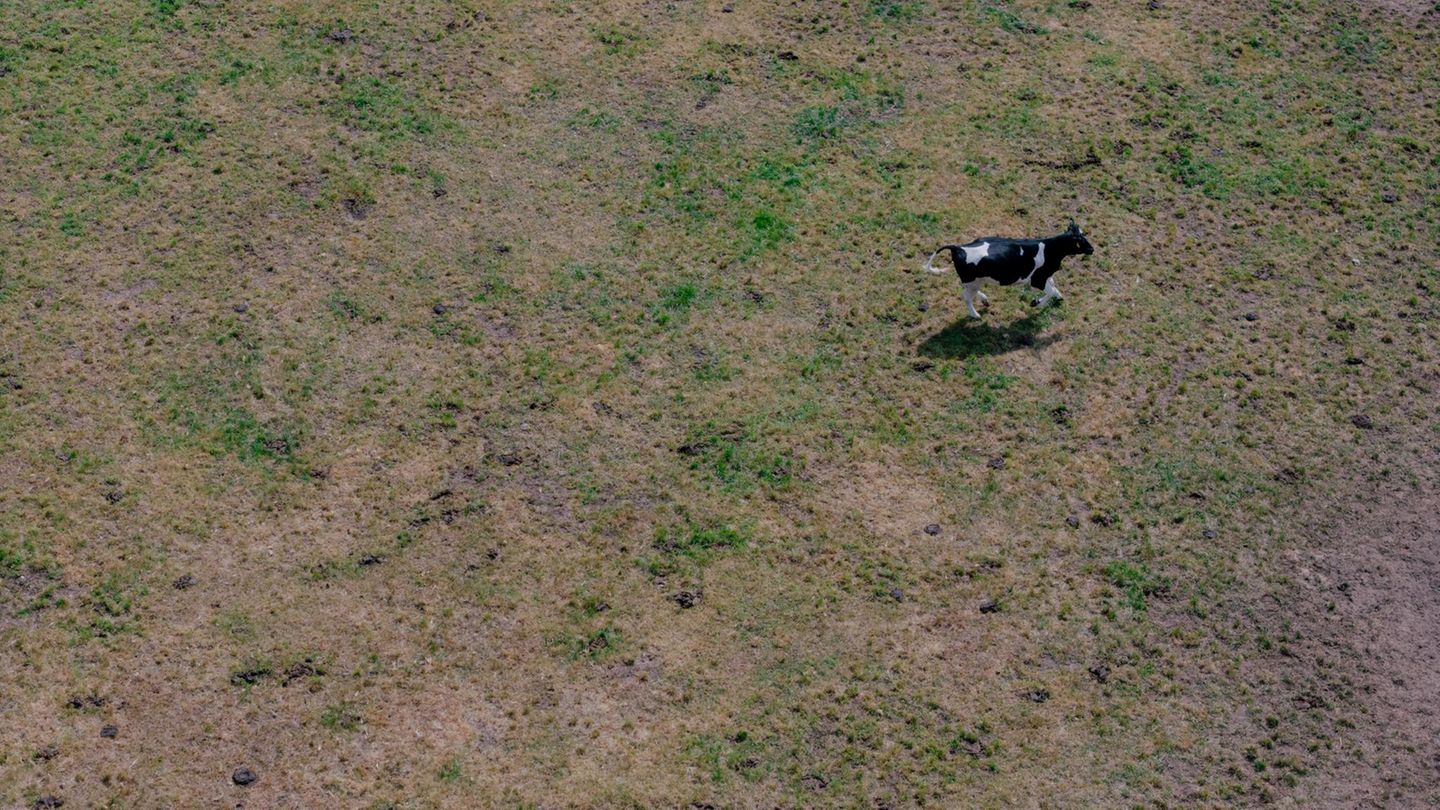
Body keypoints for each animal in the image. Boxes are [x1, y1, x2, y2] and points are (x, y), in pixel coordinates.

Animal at [923, 221, 1094, 318]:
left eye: (1084, 234)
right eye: (1079, 240)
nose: (1092, 249)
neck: (1051, 249)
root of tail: (959, 247)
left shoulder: (1046, 275)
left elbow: (1054, 288)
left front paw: (1058, 297)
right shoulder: (1037, 279)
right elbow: (1050, 291)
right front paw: (1036, 303)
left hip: (974, 281)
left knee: (967, 292)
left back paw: (984, 300)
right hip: (972, 280)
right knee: (965, 296)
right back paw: (975, 315)